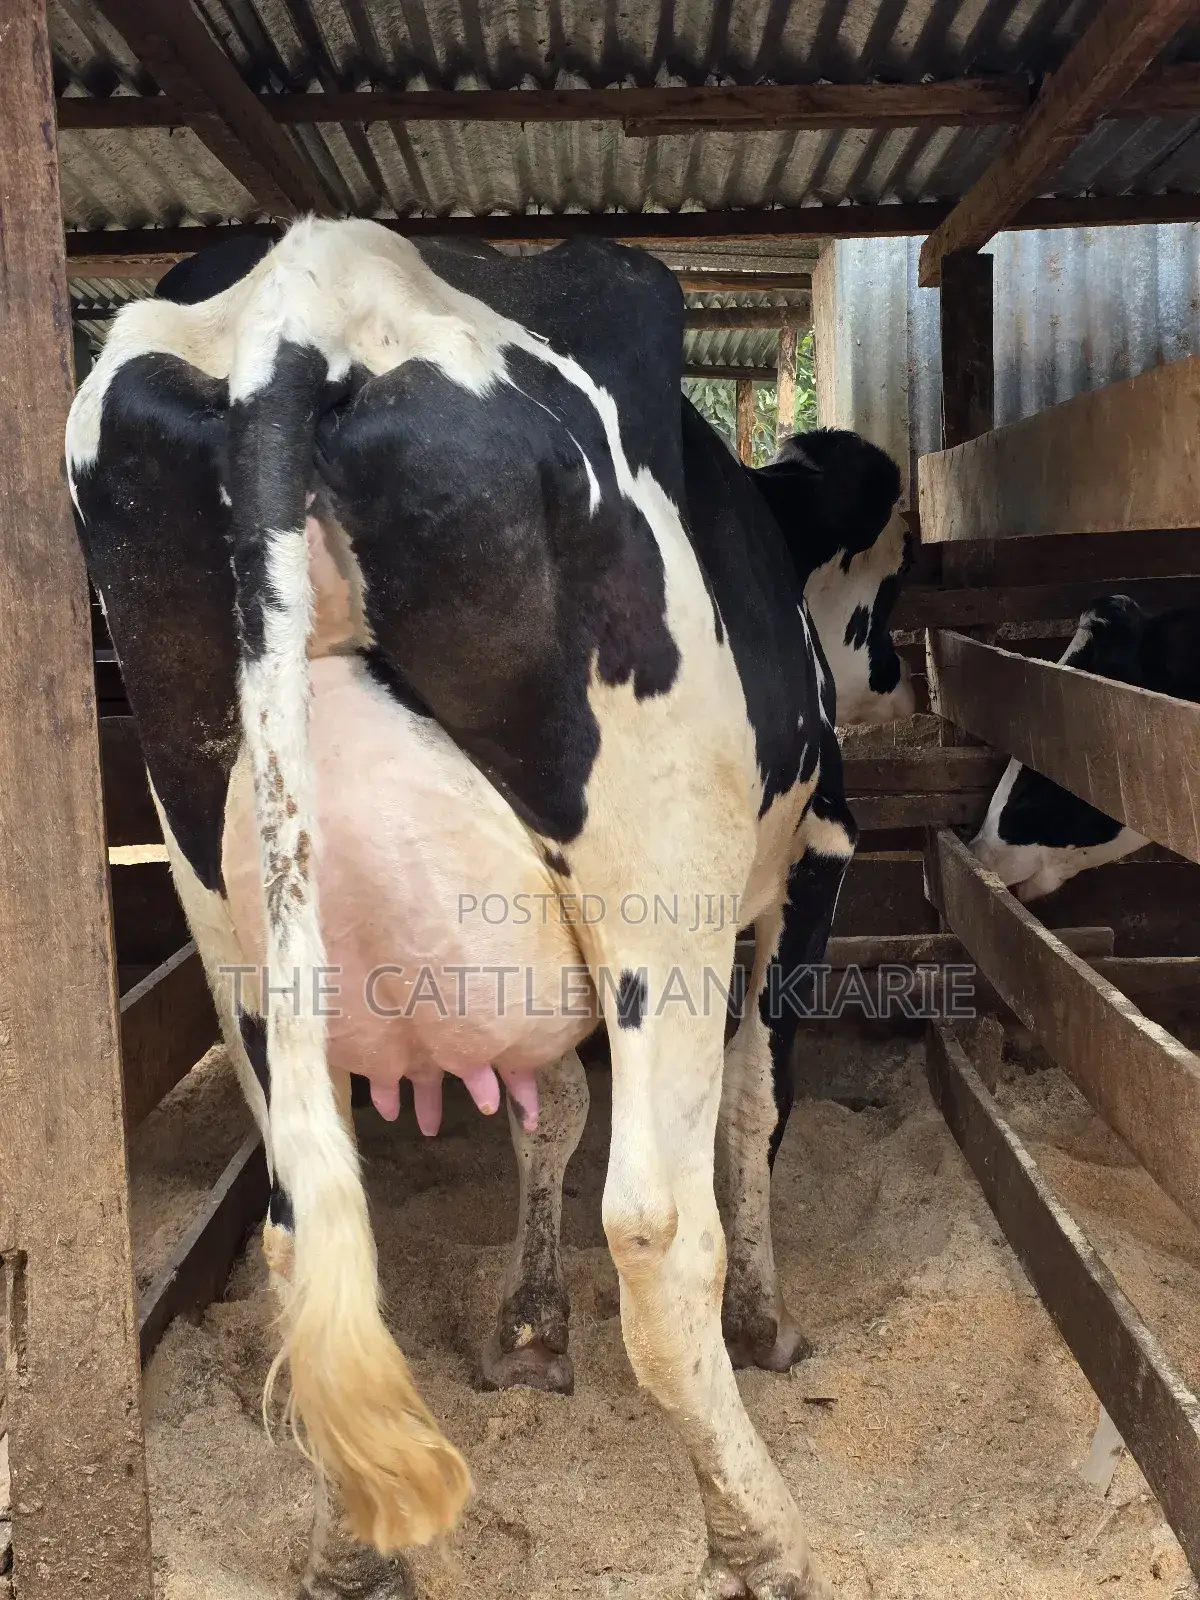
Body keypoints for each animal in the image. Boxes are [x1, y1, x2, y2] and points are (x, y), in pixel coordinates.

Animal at [68, 217, 908, 1598]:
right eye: (884, 588)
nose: (888, 666)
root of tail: (305, 301)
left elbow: (546, 1109)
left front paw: (526, 1330)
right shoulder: (815, 855)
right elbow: (754, 1103)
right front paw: (770, 1324)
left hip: (222, 899)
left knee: (302, 1231)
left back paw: (351, 1545)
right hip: (656, 888)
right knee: (655, 1230)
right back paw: (764, 1537)